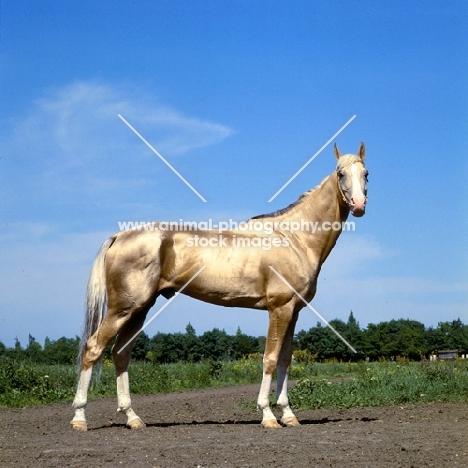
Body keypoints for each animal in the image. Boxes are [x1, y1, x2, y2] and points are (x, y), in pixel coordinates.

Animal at [71, 144, 368, 432]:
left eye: (366, 174)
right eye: (341, 173)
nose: (359, 205)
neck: (293, 237)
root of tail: (119, 235)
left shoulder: (292, 311)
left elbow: (285, 360)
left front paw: (288, 415)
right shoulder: (279, 309)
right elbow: (270, 359)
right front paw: (268, 415)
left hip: (139, 310)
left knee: (121, 354)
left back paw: (132, 418)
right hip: (123, 309)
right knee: (93, 348)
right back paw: (79, 418)